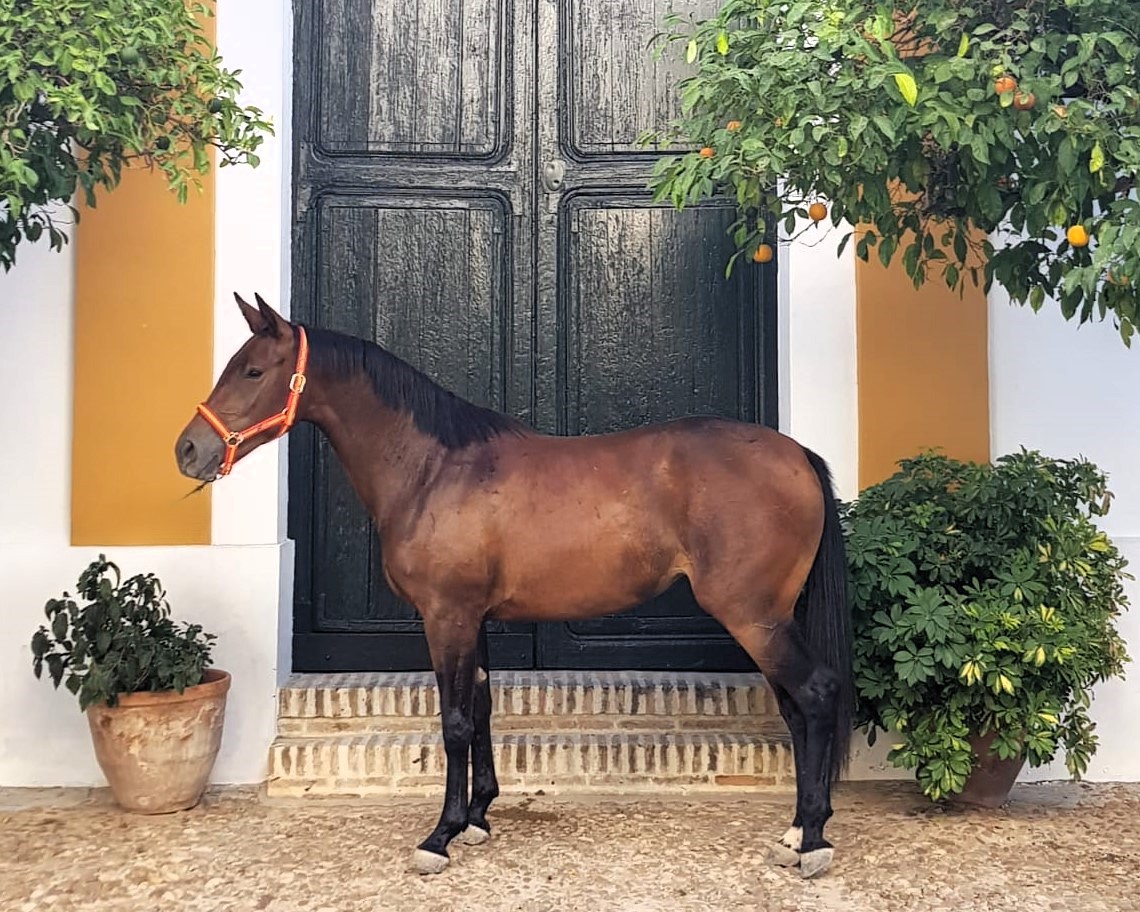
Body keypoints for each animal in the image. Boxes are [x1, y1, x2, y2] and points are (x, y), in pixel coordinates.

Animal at [175, 292, 854, 880]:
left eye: (253, 370)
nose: (187, 450)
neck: (434, 468)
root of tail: (795, 454)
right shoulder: (471, 618)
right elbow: (479, 708)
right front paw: (477, 818)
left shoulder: (445, 615)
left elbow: (453, 721)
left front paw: (440, 836)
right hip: (769, 616)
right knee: (795, 709)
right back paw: (796, 831)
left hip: (753, 615)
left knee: (816, 695)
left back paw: (814, 842)